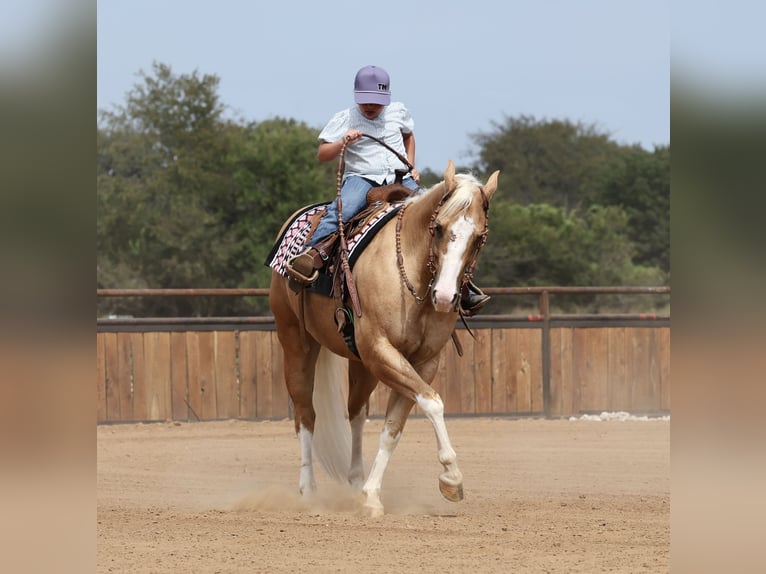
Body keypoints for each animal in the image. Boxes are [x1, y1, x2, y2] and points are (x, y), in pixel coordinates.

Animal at [268, 160, 499, 516]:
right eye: (438, 228)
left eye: (478, 238)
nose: (445, 297)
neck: (412, 275)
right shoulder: (381, 352)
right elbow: (433, 402)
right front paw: (452, 476)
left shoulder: (423, 362)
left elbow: (393, 427)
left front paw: (371, 495)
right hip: (295, 341)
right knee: (306, 414)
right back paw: (308, 491)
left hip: (359, 364)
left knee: (356, 414)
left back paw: (354, 481)